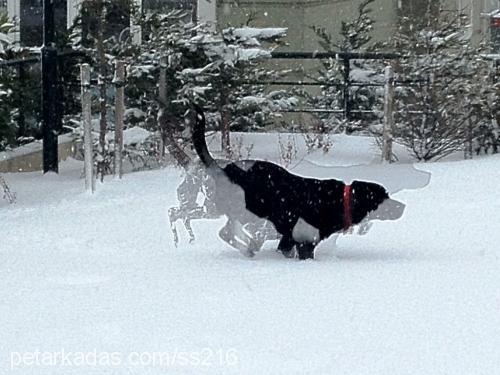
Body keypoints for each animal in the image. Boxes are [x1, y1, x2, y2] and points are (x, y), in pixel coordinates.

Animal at [192, 104, 406, 260]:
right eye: (382, 197)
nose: (403, 206)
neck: (339, 201)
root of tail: (222, 170)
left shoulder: (289, 240)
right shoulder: (305, 242)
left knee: (229, 232)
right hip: (249, 211)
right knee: (226, 232)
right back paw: (248, 248)